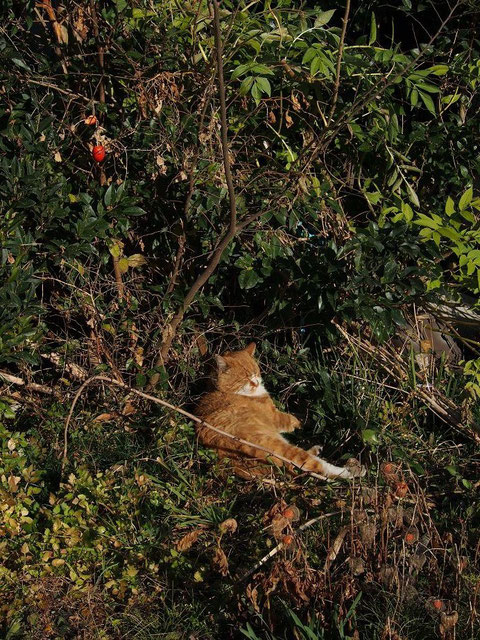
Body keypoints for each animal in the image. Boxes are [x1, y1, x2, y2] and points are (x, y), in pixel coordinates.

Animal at [197, 342, 366, 478]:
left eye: (256, 372)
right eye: (244, 377)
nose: (256, 382)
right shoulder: (278, 417)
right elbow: (297, 420)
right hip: (282, 448)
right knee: (317, 467)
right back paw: (353, 471)